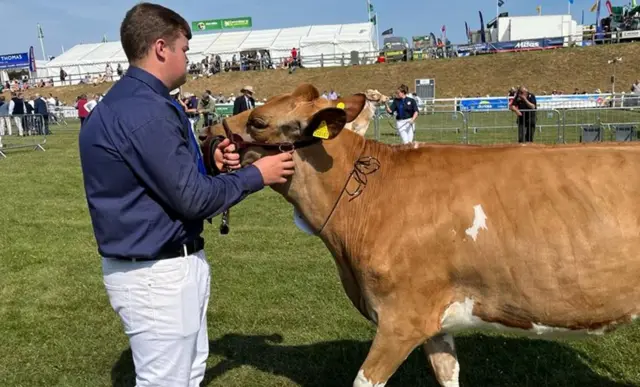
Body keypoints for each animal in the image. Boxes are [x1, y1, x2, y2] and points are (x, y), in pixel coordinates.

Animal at [200, 84, 640, 387]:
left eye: (258, 121)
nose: (206, 136)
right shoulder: (436, 325)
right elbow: (448, 375)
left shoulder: (401, 319)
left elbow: (364, 379)